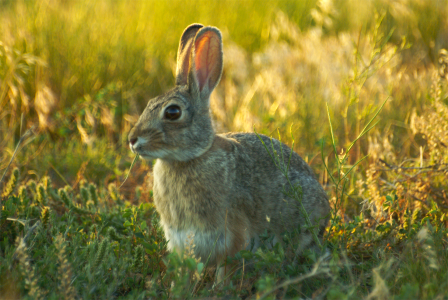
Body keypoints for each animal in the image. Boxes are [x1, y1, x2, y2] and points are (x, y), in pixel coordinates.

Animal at [128, 24, 330, 284]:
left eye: (172, 112)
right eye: (149, 103)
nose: (132, 139)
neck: (189, 158)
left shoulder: (233, 236)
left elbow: (226, 272)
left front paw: (219, 289)